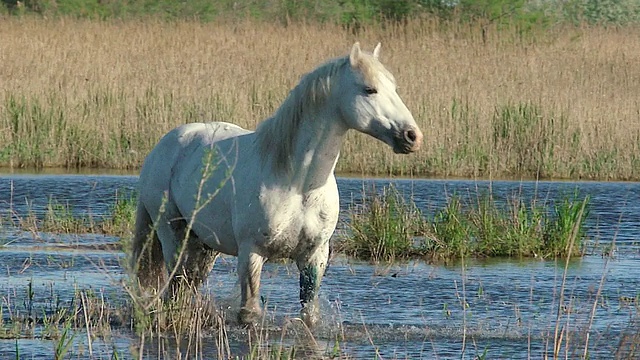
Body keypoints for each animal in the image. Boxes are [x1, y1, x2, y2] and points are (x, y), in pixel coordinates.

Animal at [131, 42, 420, 326]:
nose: (412, 136)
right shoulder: (252, 254)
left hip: (204, 243)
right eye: (369, 89)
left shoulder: (314, 258)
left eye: (394, 88)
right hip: (172, 234)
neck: (299, 185)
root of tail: (165, 145)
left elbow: (309, 313)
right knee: (174, 285)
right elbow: (249, 313)